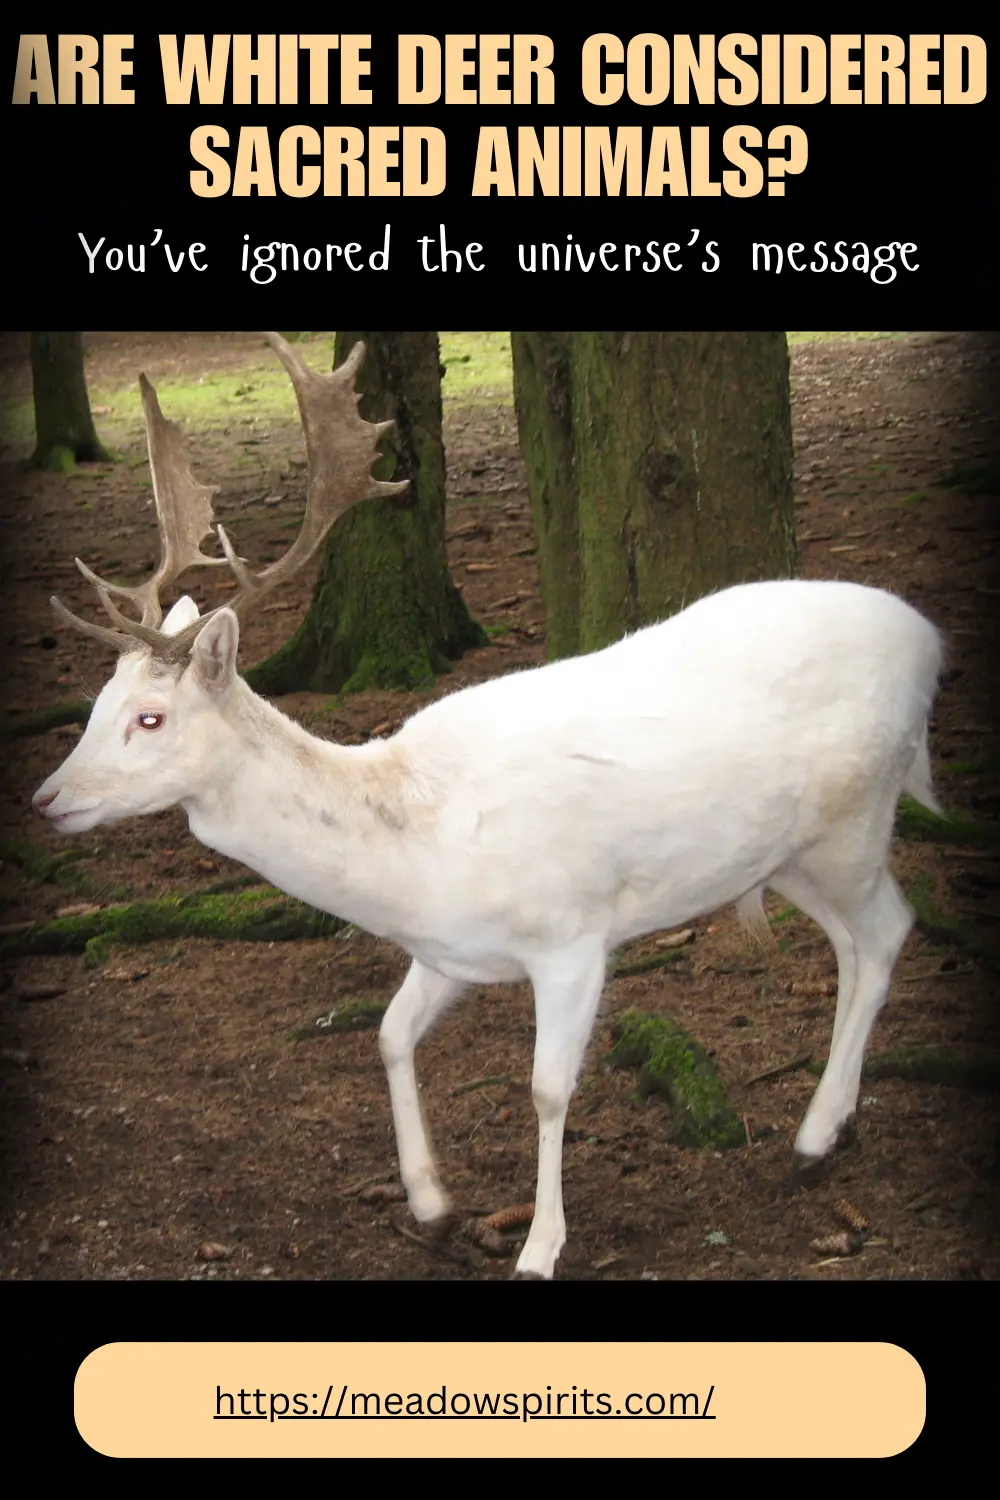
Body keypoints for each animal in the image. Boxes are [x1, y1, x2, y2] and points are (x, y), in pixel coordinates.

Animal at [32, 332, 944, 1280]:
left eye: (150, 716)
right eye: (96, 702)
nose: (47, 798)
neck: (420, 850)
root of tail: (929, 640)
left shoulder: (573, 937)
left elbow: (546, 1089)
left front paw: (539, 1246)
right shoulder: (445, 952)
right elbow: (390, 1034)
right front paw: (432, 1205)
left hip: (855, 819)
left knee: (888, 928)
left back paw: (811, 1139)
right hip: (793, 852)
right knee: (853, 943)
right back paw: (834, 1126)